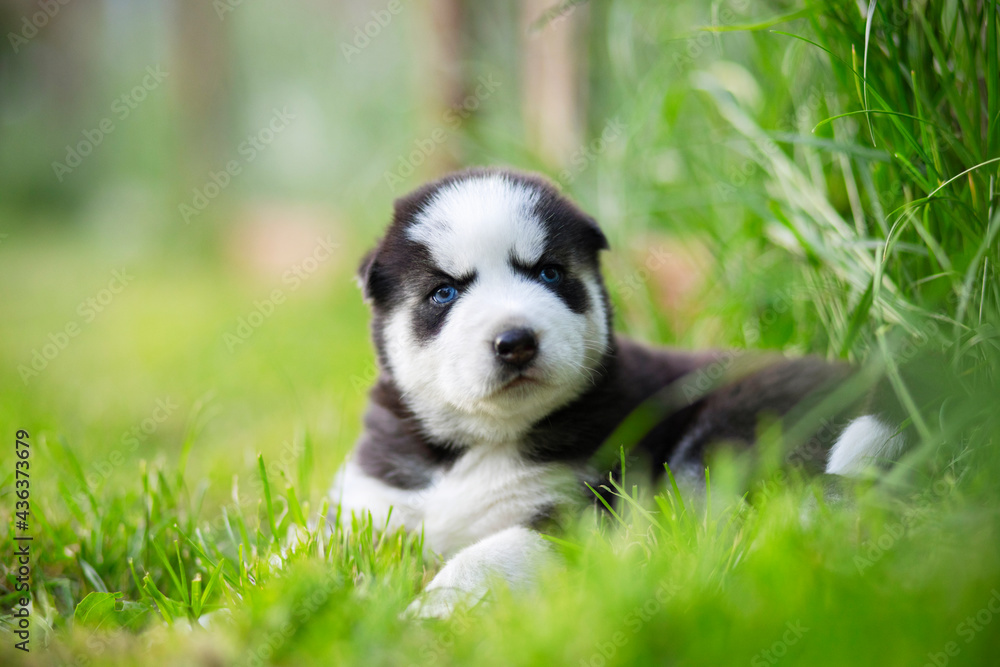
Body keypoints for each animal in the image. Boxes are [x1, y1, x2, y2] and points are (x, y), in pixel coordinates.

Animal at [330, 170, 908, 620]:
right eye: (444, 292)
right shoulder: (372, 499)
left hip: (723, 435)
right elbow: (330, 544)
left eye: (550, 273)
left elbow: (489, 553)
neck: (477, 445)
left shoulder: (578, 511)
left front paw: (430, 609)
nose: (516, 342)